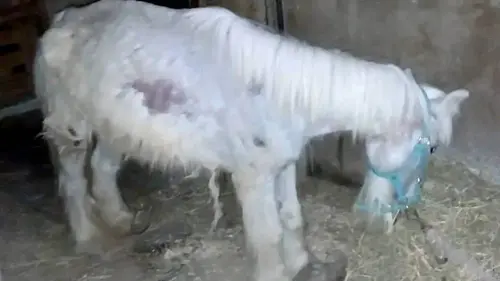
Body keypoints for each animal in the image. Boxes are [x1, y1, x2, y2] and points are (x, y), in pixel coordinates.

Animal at [37, 1, 470, 280]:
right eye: (431, 147)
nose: (378, 219)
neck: (283, 95)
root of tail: (61, 20)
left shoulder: (283, 164)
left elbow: (292, 217)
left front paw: (299, 264)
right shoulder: (253, 175)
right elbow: (266, 234)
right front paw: (277, 272)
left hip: (118, 128)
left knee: (102, 168)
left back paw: (120, 220)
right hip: (71, 129)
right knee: (72, 179)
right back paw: (88, 237)